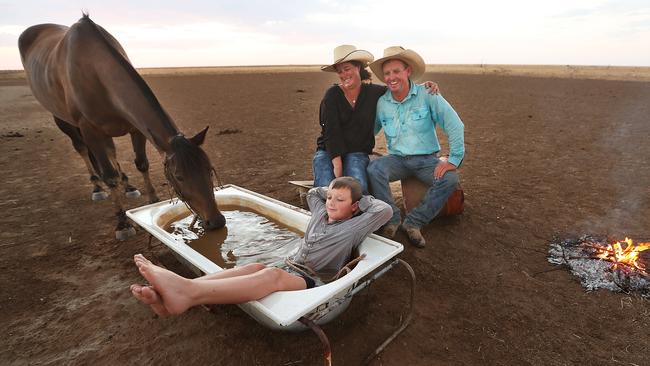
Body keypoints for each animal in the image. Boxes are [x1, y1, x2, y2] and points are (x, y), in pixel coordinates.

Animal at [19, 14, 225, 239]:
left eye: (209, 169)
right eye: (179, 176)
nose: (216, 221)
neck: (96, 72)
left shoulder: (136, 128)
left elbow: (141, 163)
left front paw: (152, 203)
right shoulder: (90, 129)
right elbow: (109, 176)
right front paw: (122, 223)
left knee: (111, 153)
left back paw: (128, 185)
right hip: (64, 120)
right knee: (83, 150)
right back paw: (97, 187)